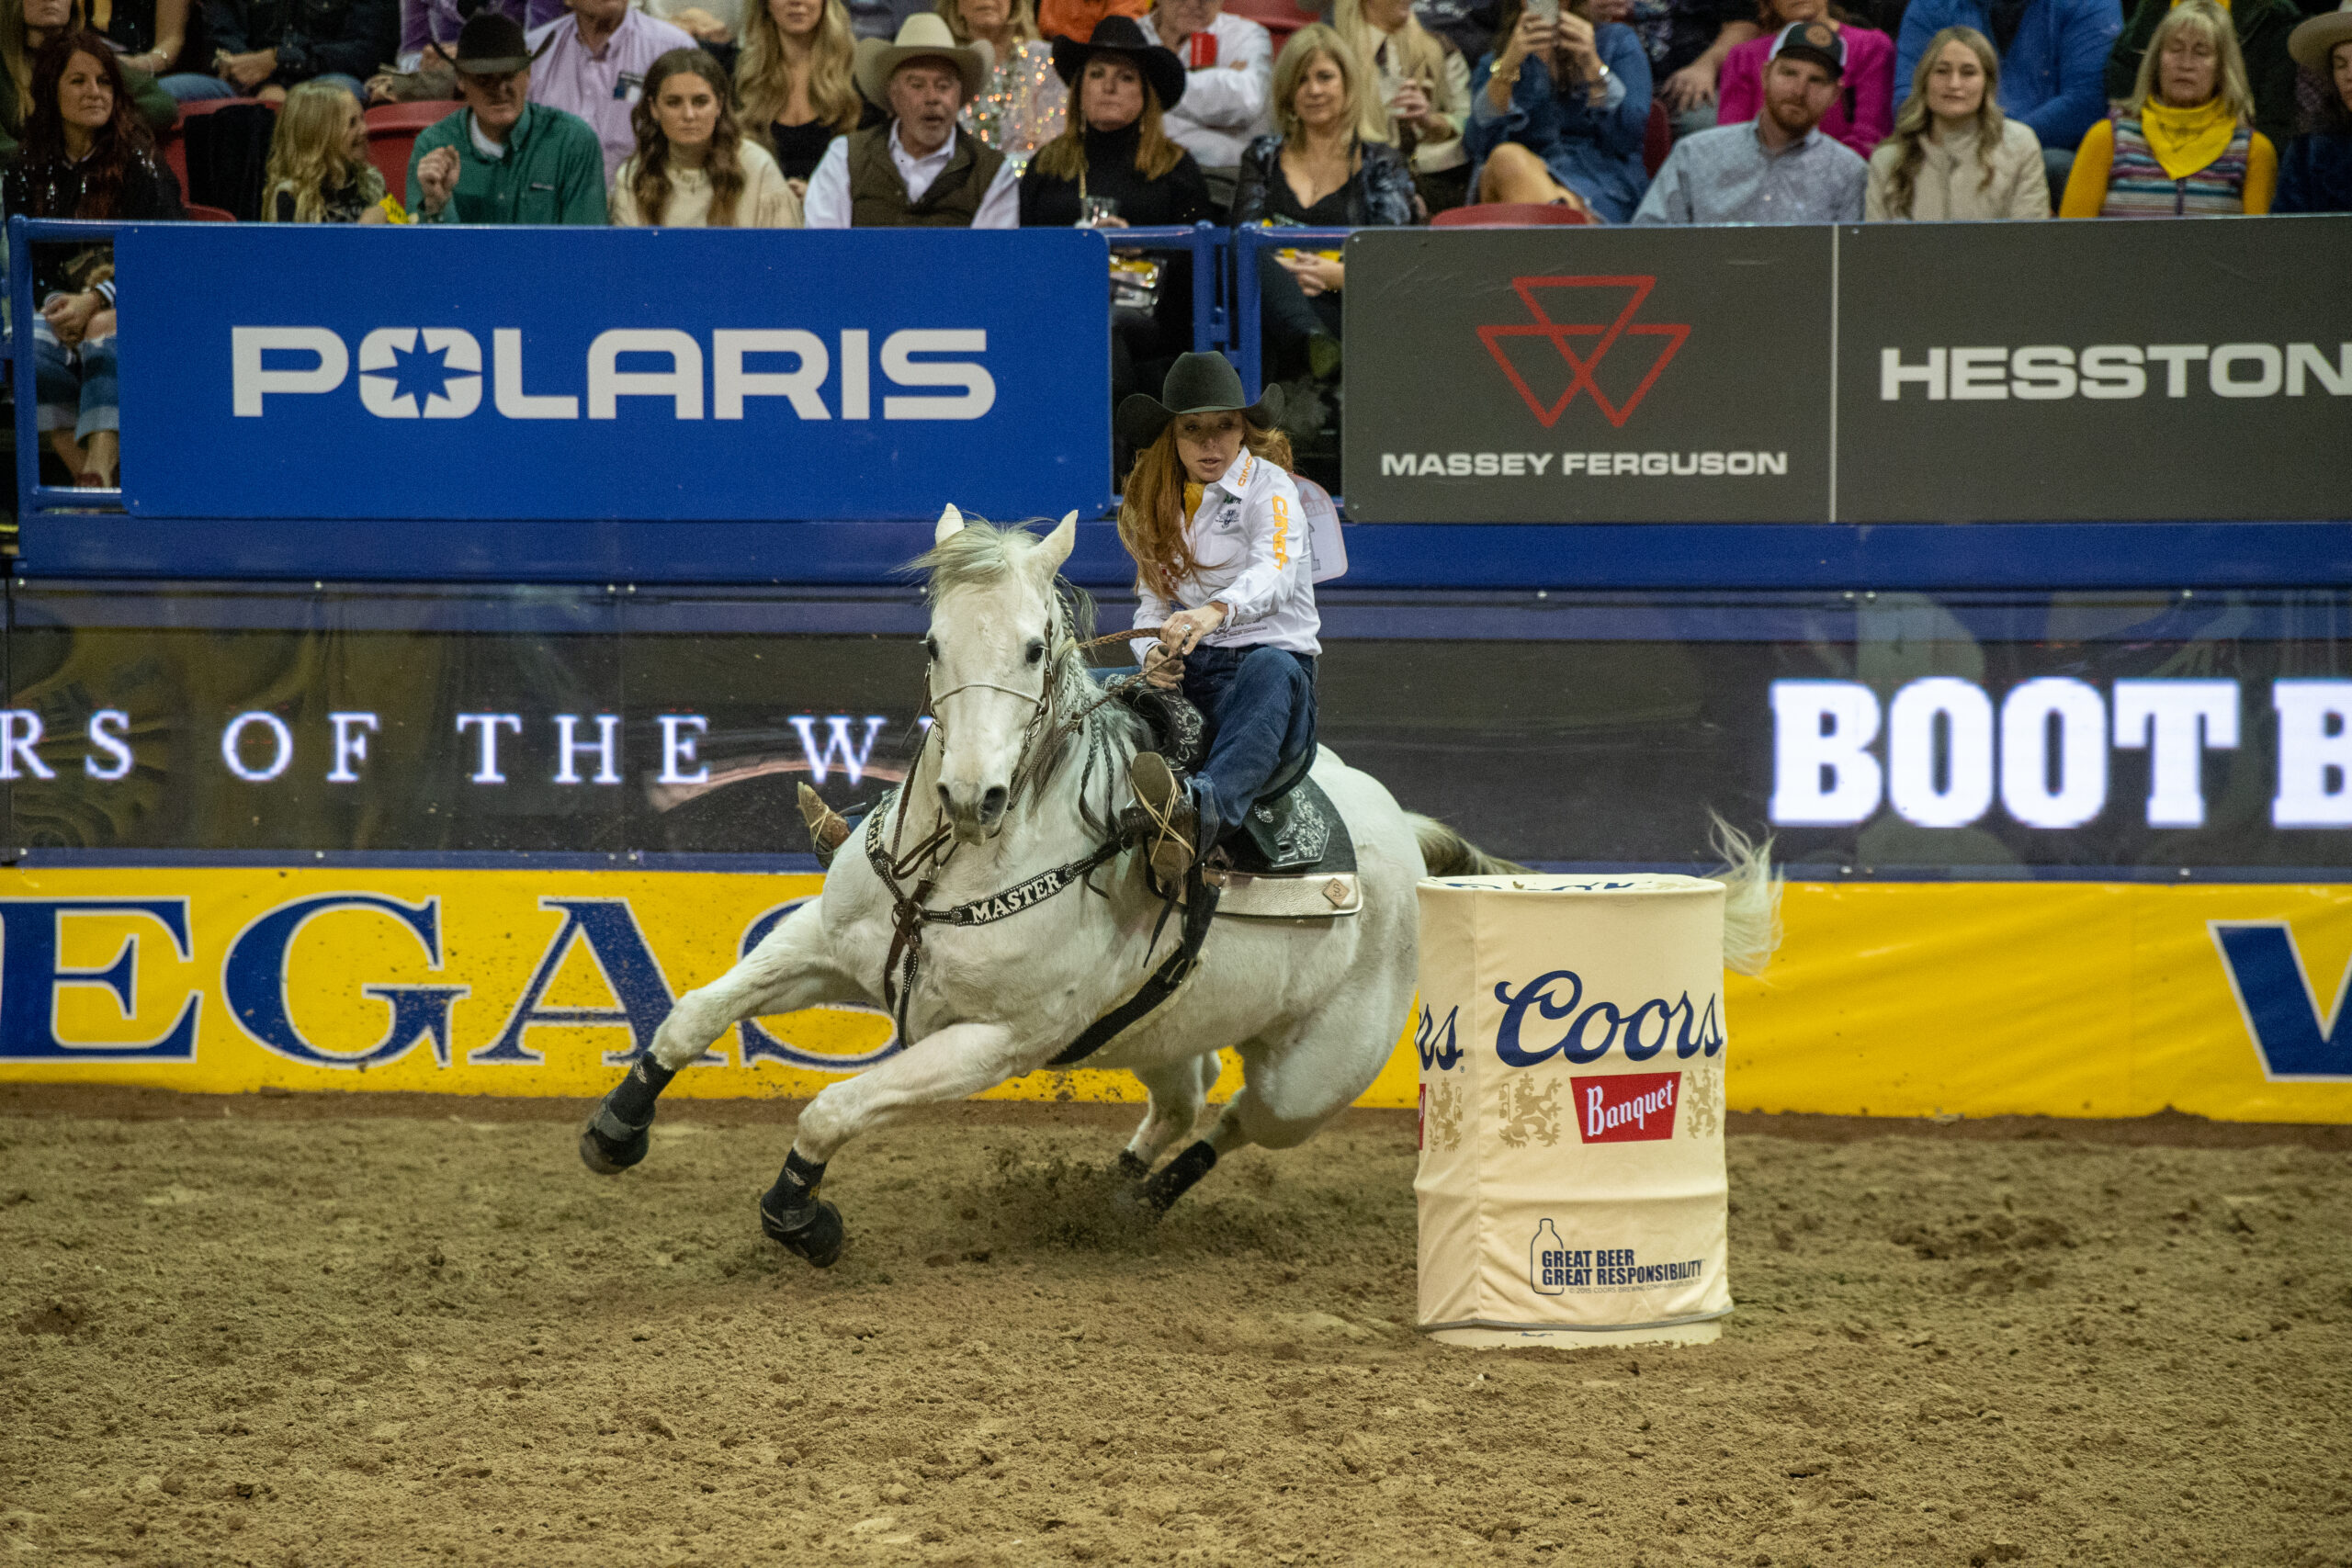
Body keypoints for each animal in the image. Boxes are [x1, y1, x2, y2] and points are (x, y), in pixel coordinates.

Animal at [578, 510, 1769, 1269]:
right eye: (930, 641)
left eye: (1033, 645)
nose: (973, 793)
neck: (973, 860)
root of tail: (1398, 831)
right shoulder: (830, 946)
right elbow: (690, 1016)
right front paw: (617, 1131)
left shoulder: (990, 1043)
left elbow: (833, 1103)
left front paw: (800, 1218)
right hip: (1154, 1024)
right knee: (1186, 1097)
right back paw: (1112, 1188)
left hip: (1311, 1077)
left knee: (1234, 1119)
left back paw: (1139, 1203)